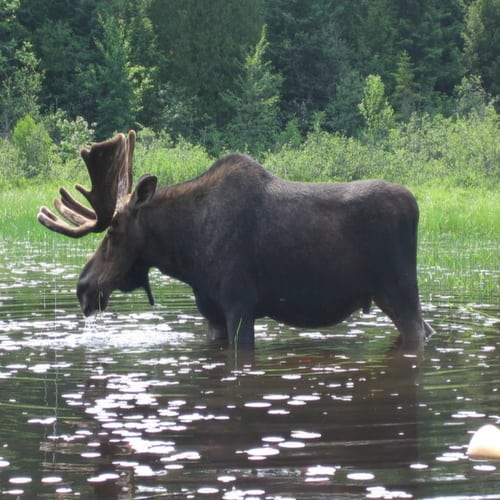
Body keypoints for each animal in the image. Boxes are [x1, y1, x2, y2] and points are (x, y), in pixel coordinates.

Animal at [38, 129, 434, 352]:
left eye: (113, 230)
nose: (83, 287)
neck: (186, 254)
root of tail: (415, 205)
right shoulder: (212, 313)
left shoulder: (239, 304)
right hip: (386, 295)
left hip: (399, 288)